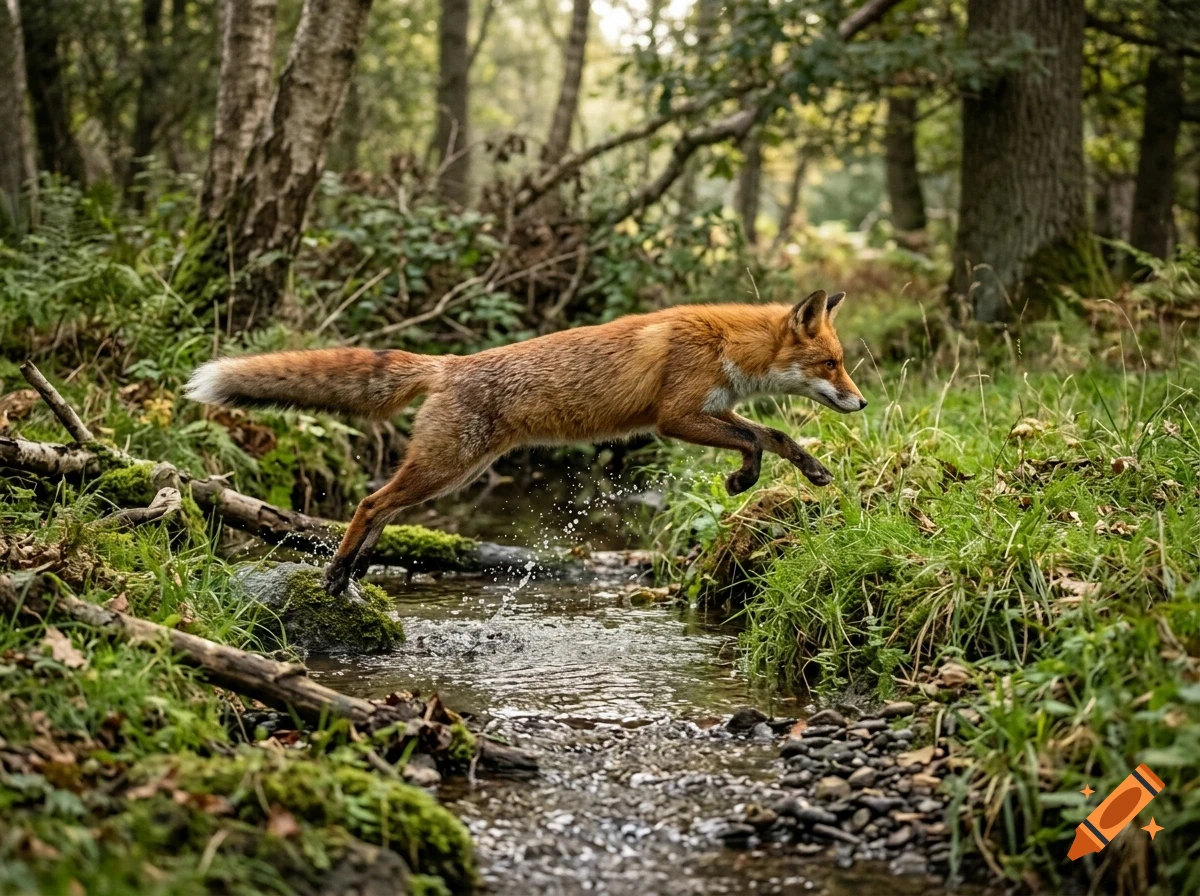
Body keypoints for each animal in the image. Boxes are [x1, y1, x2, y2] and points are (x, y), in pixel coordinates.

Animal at [184, 288, 866, 595]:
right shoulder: (674, 418)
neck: (726, 343)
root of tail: (450, 363)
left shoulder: (710, 412)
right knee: (368, 502)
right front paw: (743, 477)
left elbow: (773, 434)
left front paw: (807, 472)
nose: (861, 403)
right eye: (832, 364)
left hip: (452, 471)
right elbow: (756, 439)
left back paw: (351, 572)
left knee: (380, 509)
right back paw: (335, 574)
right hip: (447, 465)